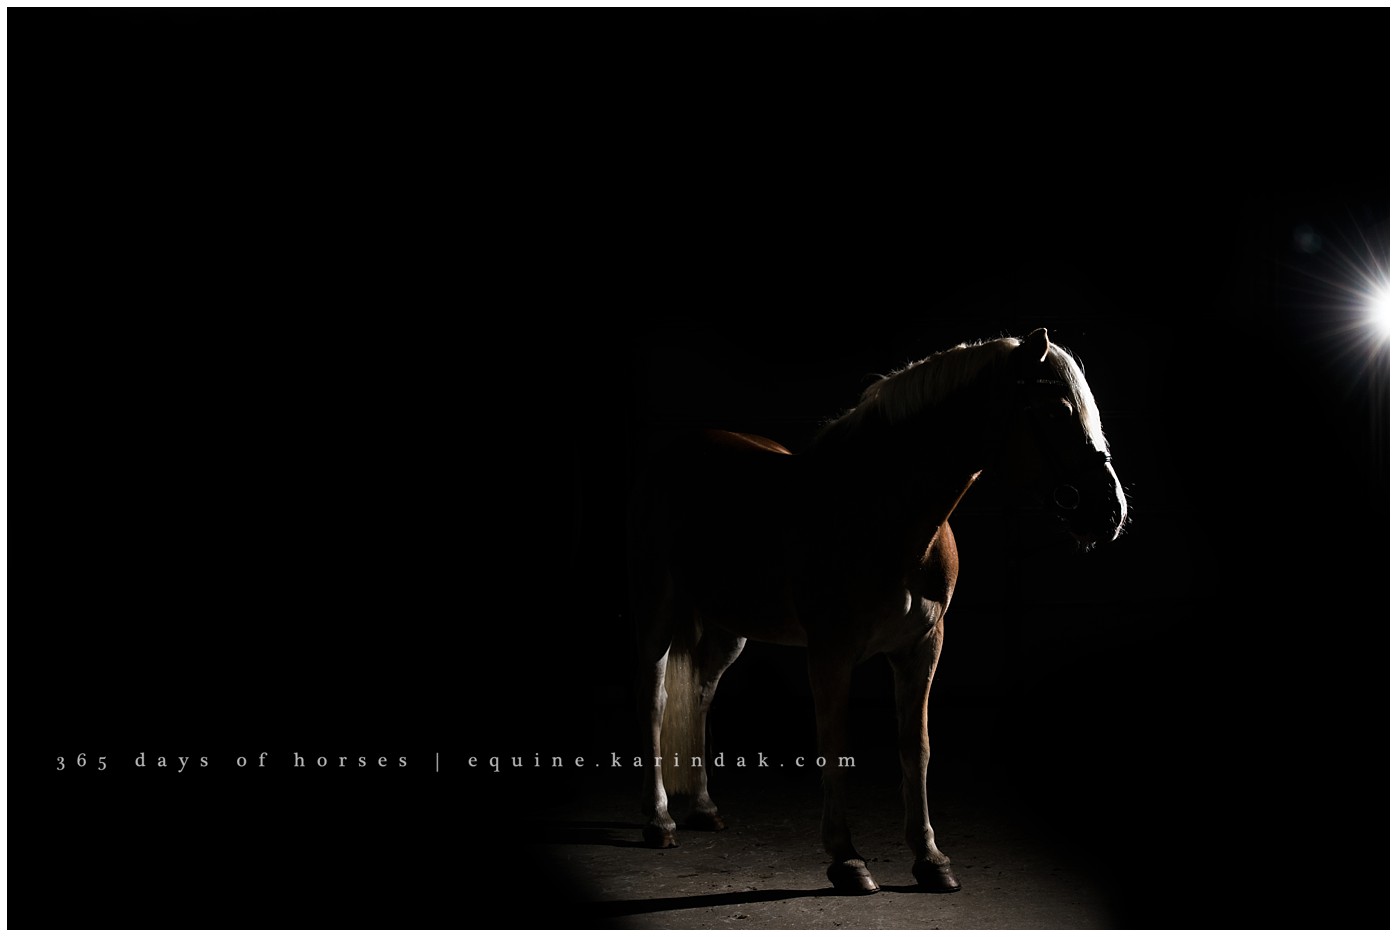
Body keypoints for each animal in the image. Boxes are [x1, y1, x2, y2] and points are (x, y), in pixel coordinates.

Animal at [626, 328, 1127, 895]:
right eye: (1057, 408)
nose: (1110, 512)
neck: (880, 510)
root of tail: (677, 453)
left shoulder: (923, 646)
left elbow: (916, 747)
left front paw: (930, 858)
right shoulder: (831, 651)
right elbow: (835, 743)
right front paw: (846, 859)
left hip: (730, 627)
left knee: (702, 694)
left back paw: (704, 807)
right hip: (659, 610)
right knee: (655, 698)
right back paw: (659, 819)